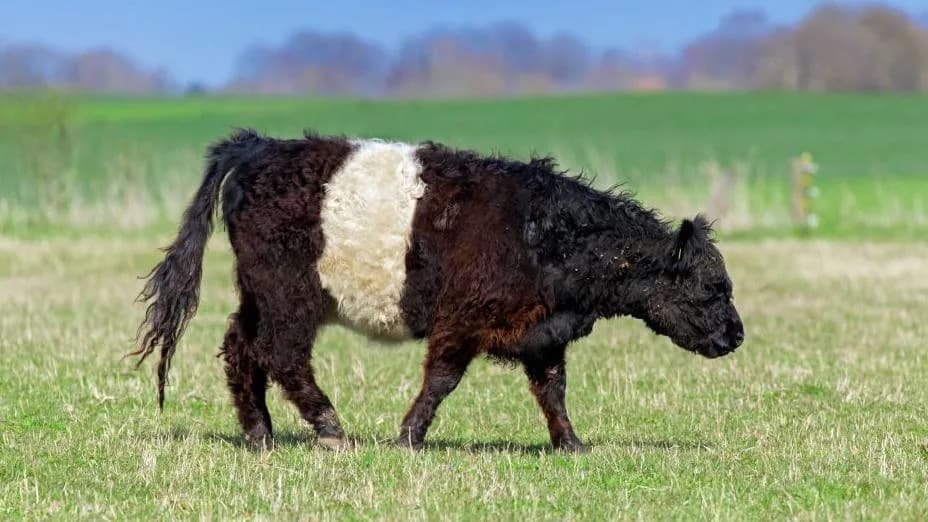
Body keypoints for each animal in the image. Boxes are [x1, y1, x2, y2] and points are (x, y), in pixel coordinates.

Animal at [134, 129, 744, 453]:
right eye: (713, 287)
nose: (736, 336)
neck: (543, 231)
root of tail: (258, 146)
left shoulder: (542, 331)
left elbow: (553, 390)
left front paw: (570, 444)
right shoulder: (463, 316)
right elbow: (442, 380)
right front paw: (409, 435)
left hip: (258, 294)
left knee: (240, 348)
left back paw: (260, 434)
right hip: (290, 294)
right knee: (280, 354)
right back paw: (330, 429)